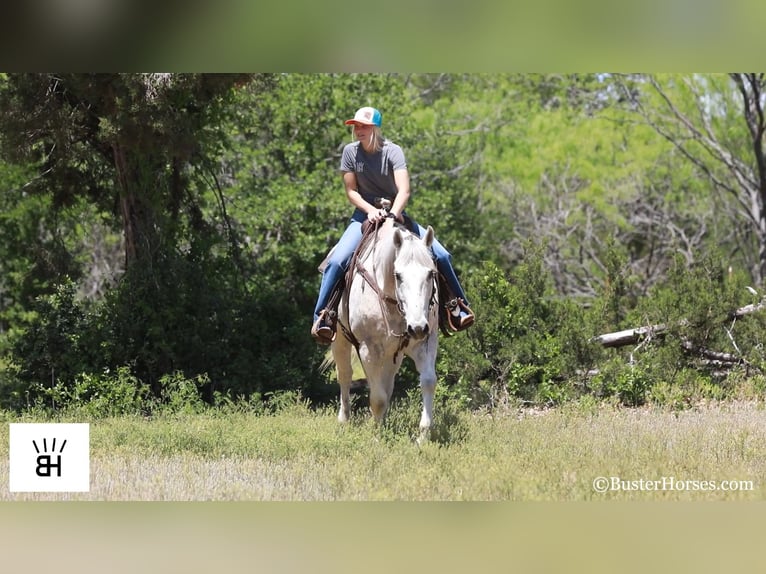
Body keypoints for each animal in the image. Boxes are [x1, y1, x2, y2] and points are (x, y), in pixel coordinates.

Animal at [330, 218, 438, 438]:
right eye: (398, 275)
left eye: (431, 273)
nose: (417, 327)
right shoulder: (368, 350)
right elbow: (377, 398)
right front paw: (377, 435)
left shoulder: (426, 342)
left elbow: (428, 381)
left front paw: (423, 435)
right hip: (341, 341)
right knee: (345, 375)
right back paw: (344, 420)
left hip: (393, 356)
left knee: (388, 384)